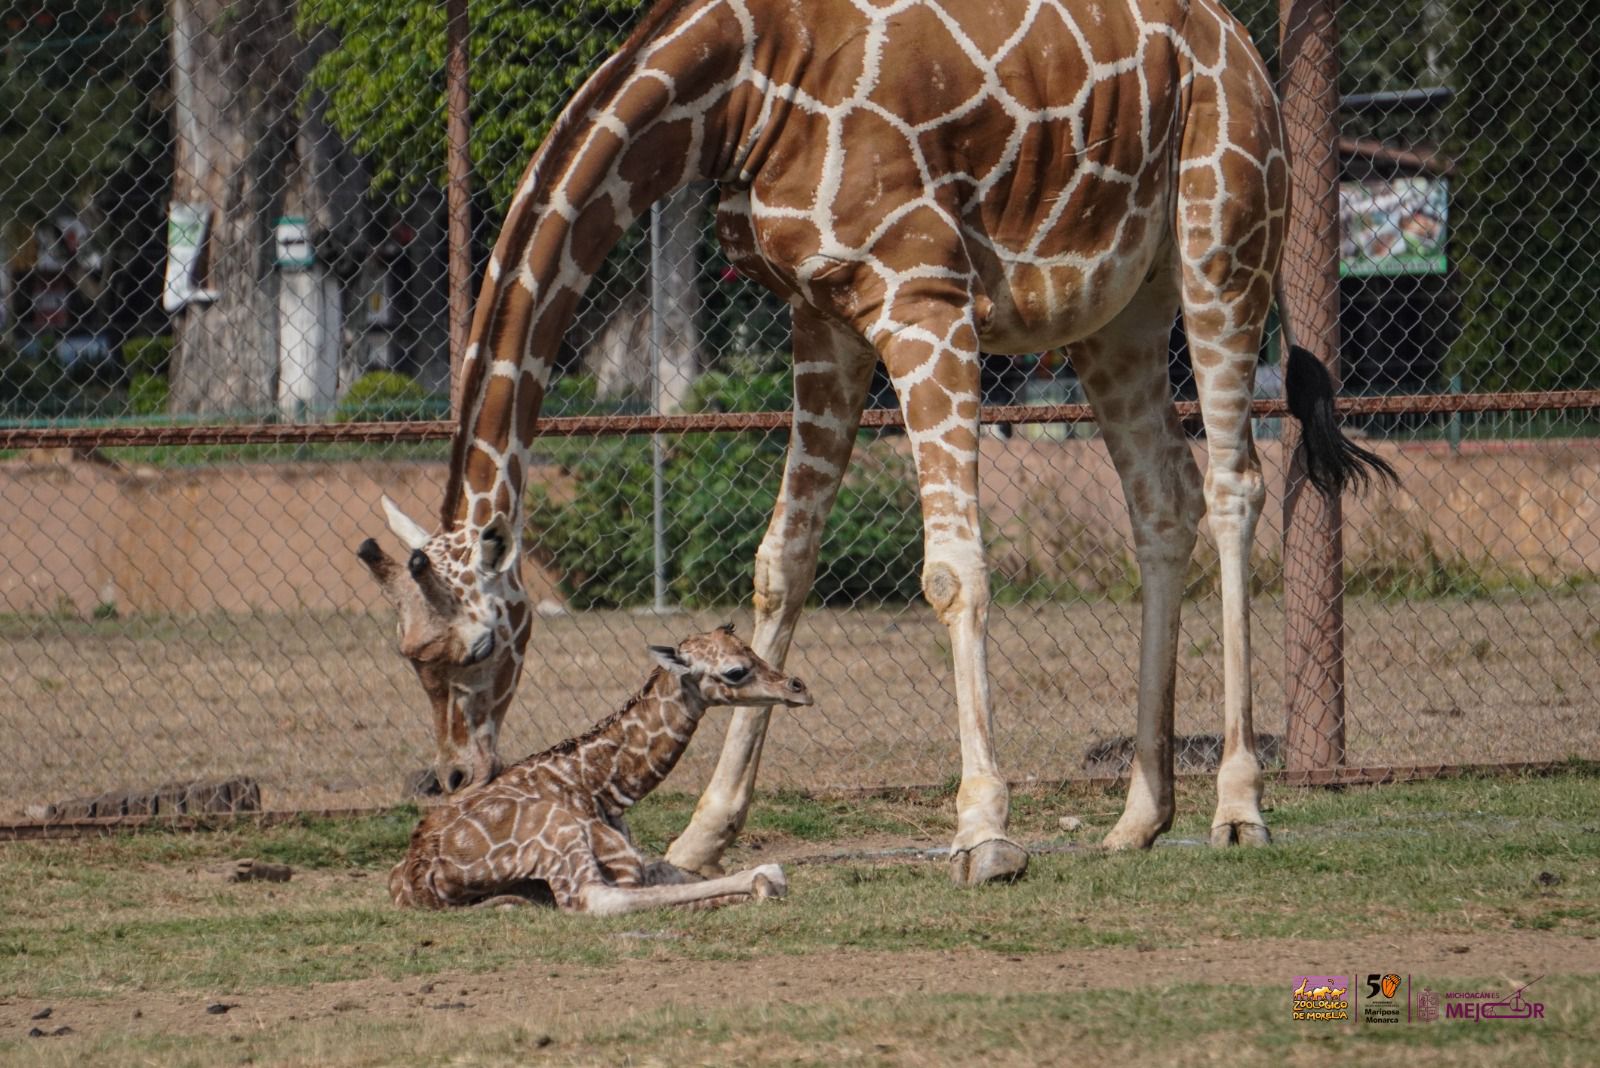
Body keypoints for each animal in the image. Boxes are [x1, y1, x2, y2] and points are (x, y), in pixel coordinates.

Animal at [390, 624, 810, 913]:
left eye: (753, 651)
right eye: (736, 671)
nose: (798, 688)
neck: (598, 784)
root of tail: (422, 876)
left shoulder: (638, 862)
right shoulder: (624, 865)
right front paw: (764, 880)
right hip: (559, 835)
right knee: (595, 900)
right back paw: (768, 876)